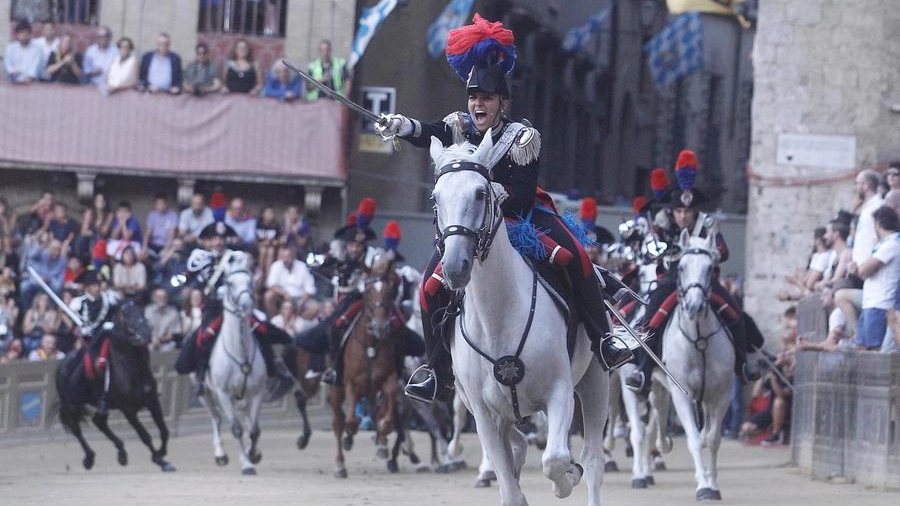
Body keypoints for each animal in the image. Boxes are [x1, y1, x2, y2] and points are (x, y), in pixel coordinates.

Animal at [56, 300, 178, 470]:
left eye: (142, 312)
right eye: (125, 315)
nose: (144, 335)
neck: (132, 367)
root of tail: (62, 365)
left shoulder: (152, 401)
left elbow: (164, 430)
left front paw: (161, 455)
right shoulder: (128, 409)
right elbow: (144, 436)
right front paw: (159, 459)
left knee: (99, 422)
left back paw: (121, 453)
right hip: (72, 406)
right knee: (76, 429)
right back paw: (89, 458)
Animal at [200, 251, 266, 476]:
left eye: (250, 280)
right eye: (229, 283)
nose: (246, 304)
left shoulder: (256, 392)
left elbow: (254, 430)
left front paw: (253, 454)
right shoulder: (223, 394)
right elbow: (236, 429)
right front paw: (247, 464)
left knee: (247, 420)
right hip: (206, 395)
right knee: (216, 419)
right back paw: (220, 454)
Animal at [428, 134, 612, 506]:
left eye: (480, 193)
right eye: (436, 198)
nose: (454, 267)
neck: (498, 318)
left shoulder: (559, 391)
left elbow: (555, 459)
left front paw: (567, 477)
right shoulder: (484, 415)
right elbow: (511, 489)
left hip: (595, 382)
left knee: (592, 459)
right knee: (516, 445)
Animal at [664, 230, 736, 502]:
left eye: (710, 268)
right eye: (681, 267)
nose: (694, 307)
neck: (698, 340)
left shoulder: (721, 395)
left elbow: (713, 439)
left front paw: (712, 484)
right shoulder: (680, 394)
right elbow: (694, 440)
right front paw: (703, 486)